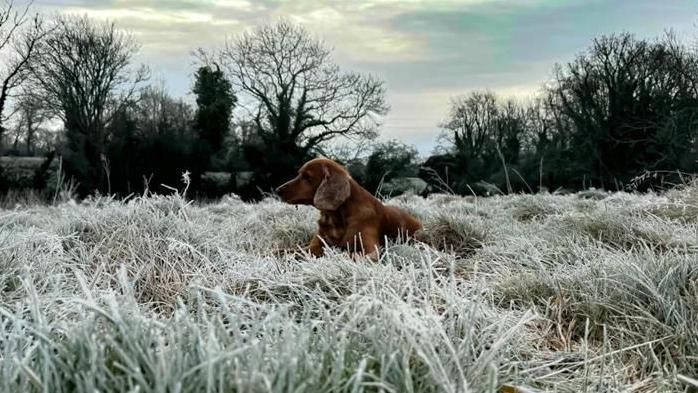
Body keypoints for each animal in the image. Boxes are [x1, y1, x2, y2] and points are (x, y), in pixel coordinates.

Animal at [274, 156, 422, 258]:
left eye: (307, 177)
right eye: (299, 174)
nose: (277, 190)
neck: (336, 218)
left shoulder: (370, 250)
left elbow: (346, 254)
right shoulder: (314, 246)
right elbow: (286, 251)